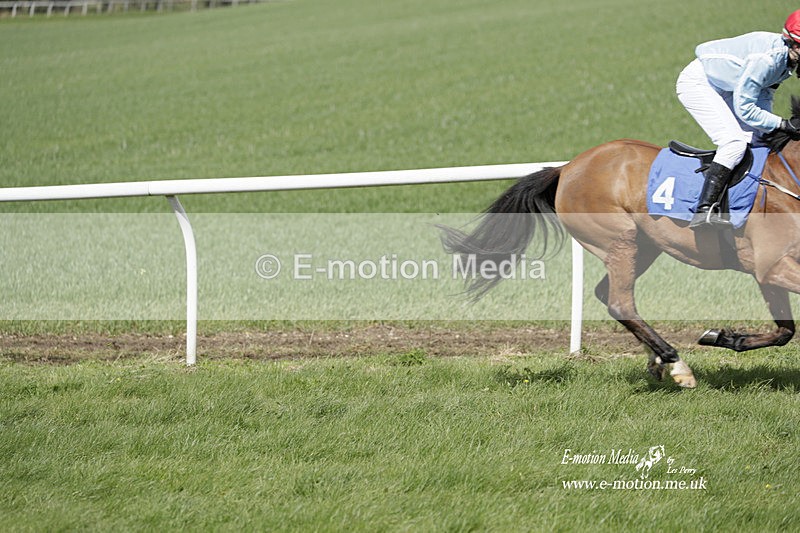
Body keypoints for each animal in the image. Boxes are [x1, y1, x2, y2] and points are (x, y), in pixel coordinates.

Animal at [439, 97, 800, 388]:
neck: (785, 179)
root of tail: (566, 168)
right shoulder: (770, 265)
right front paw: (718, 336)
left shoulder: (766, 269)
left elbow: (785, 330)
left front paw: (724, 336)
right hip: (620, 240)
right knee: (619, 303)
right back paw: (676, 363)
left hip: (645, 245)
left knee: (609, 295)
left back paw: (657, 358)